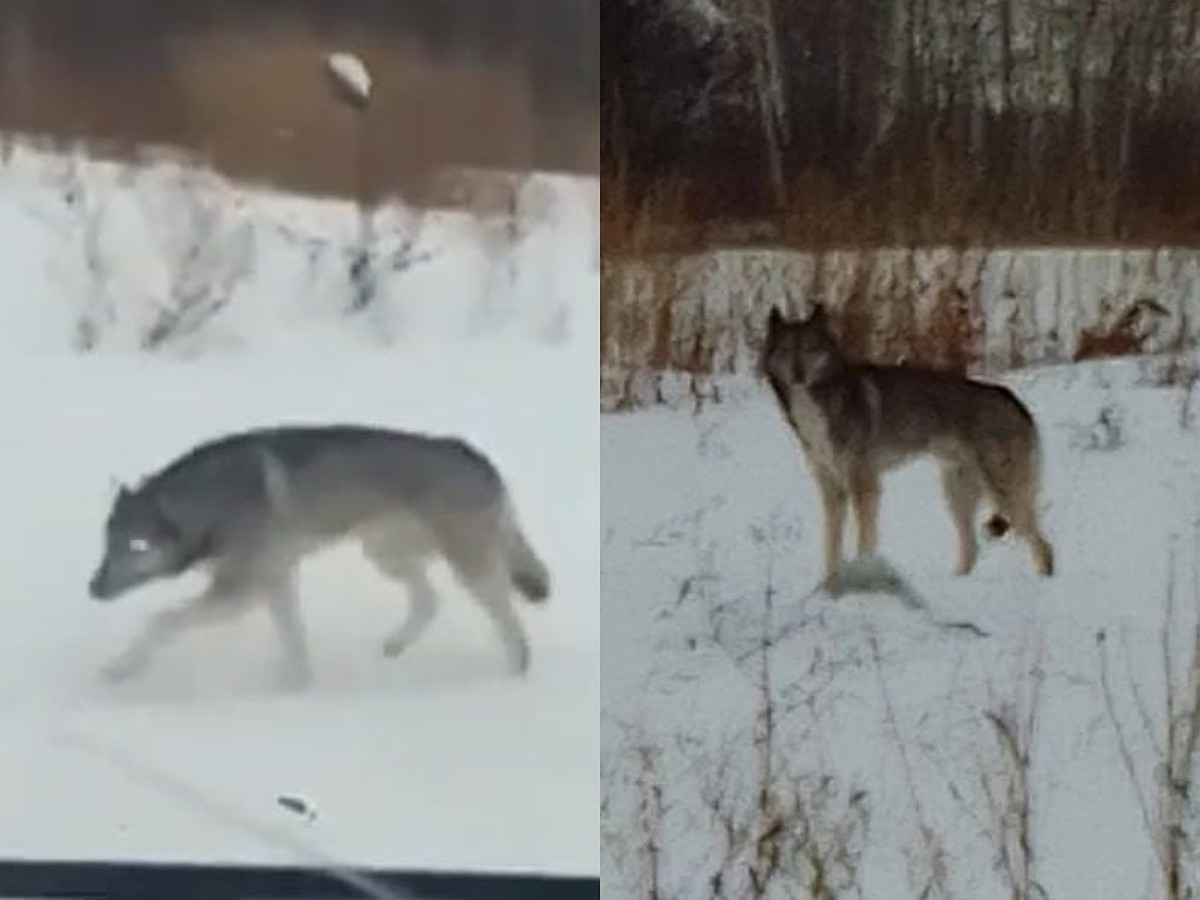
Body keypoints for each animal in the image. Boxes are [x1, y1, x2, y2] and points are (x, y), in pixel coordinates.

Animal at [87, 427, 549, 686]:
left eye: (137, 546)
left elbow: (162, 622)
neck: (209, 500)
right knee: (429, 600)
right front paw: (294, 684)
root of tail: (481, 459)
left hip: (467, 566)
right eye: (106, 543)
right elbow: (294, 638)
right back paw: (395, 645)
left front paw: (121, 668)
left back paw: (511, 677)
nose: (93, 589)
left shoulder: (242, 590)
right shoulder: (274, 579)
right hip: (383, 553)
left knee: (510, 625)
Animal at [758, 303, 1051, 585]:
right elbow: (831, 547)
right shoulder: (832, 489)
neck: (819, 405)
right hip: (956, 494)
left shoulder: (864, 486)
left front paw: (865, 572)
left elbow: (865, 542)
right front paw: (830, 586)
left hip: (1001, 492)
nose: (797, 374)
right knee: (972, 548)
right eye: (786, 350)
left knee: (1043, 545)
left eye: (810, 348)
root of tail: (1014, 401)